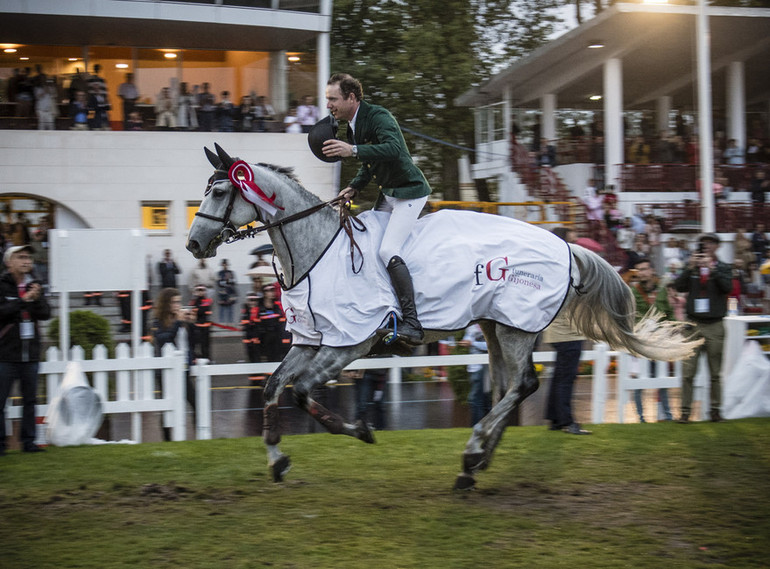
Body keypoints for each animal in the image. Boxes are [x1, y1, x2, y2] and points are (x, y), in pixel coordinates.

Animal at [188, 144, 704, 490]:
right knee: (506, 386)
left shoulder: (349, 343)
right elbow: (274, 387)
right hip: (496, 327)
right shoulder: (309, 341)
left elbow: (301, 392)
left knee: (523, 385)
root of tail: (565, 243)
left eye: (220, 190)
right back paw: (475, 465)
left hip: (515, 327)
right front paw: (276, 459)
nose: (193, 244)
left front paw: (361, 430)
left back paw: (473, 453)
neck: (319, 250)